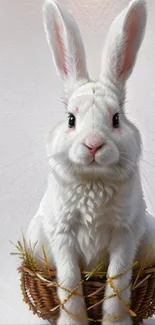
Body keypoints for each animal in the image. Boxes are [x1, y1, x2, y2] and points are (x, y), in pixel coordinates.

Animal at [26, 0, 155, 324]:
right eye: (71, 119)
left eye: (116, 119)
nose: (94, 144)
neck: (94, 179)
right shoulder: (63, 234)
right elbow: (70, 284)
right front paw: (73, 320)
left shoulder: (124, 235)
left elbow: (117, 286)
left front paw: (116, 321)